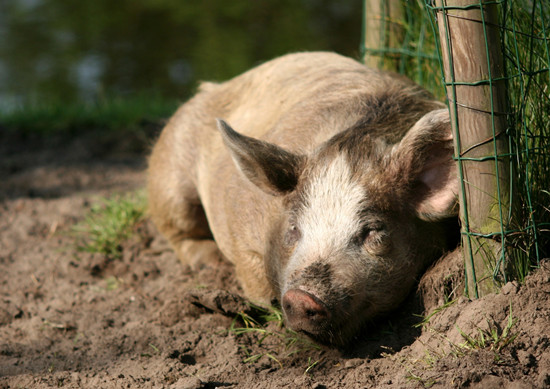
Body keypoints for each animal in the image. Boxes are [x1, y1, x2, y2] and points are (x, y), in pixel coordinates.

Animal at [148, 52, 462, 346]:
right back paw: (209, 262)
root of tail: (212, 87)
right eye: (294, 228)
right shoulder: (240, 228)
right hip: (170, 181)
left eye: (374, 231)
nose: (302, 298)